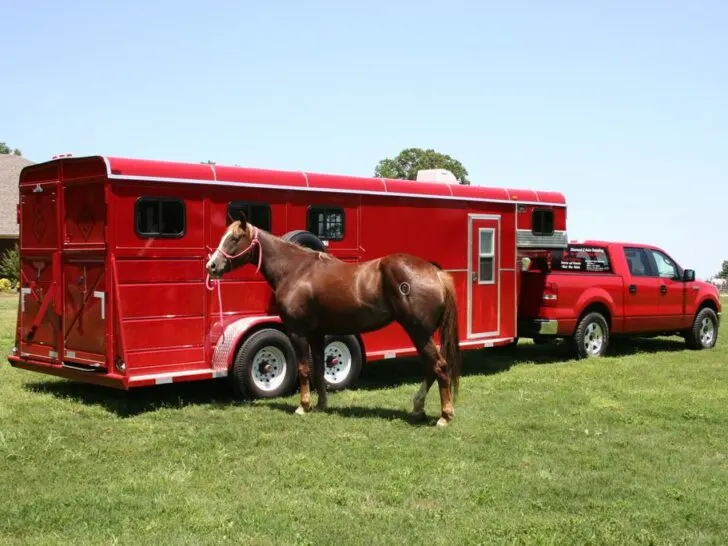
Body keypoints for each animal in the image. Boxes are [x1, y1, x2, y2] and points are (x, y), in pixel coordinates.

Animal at [205, 214, 462, 426]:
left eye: (235, 238)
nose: (212, 266)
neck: (297, 270)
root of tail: (436, 273)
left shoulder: (297, 331)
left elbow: (304, 368)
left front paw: (303, 406)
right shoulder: (317, 334)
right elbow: (319, 368)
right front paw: (321, 405)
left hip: (418, 332)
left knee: (439, 366)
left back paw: (444, 416)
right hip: (422, 334)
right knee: (431, 368)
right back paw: (419, 408)